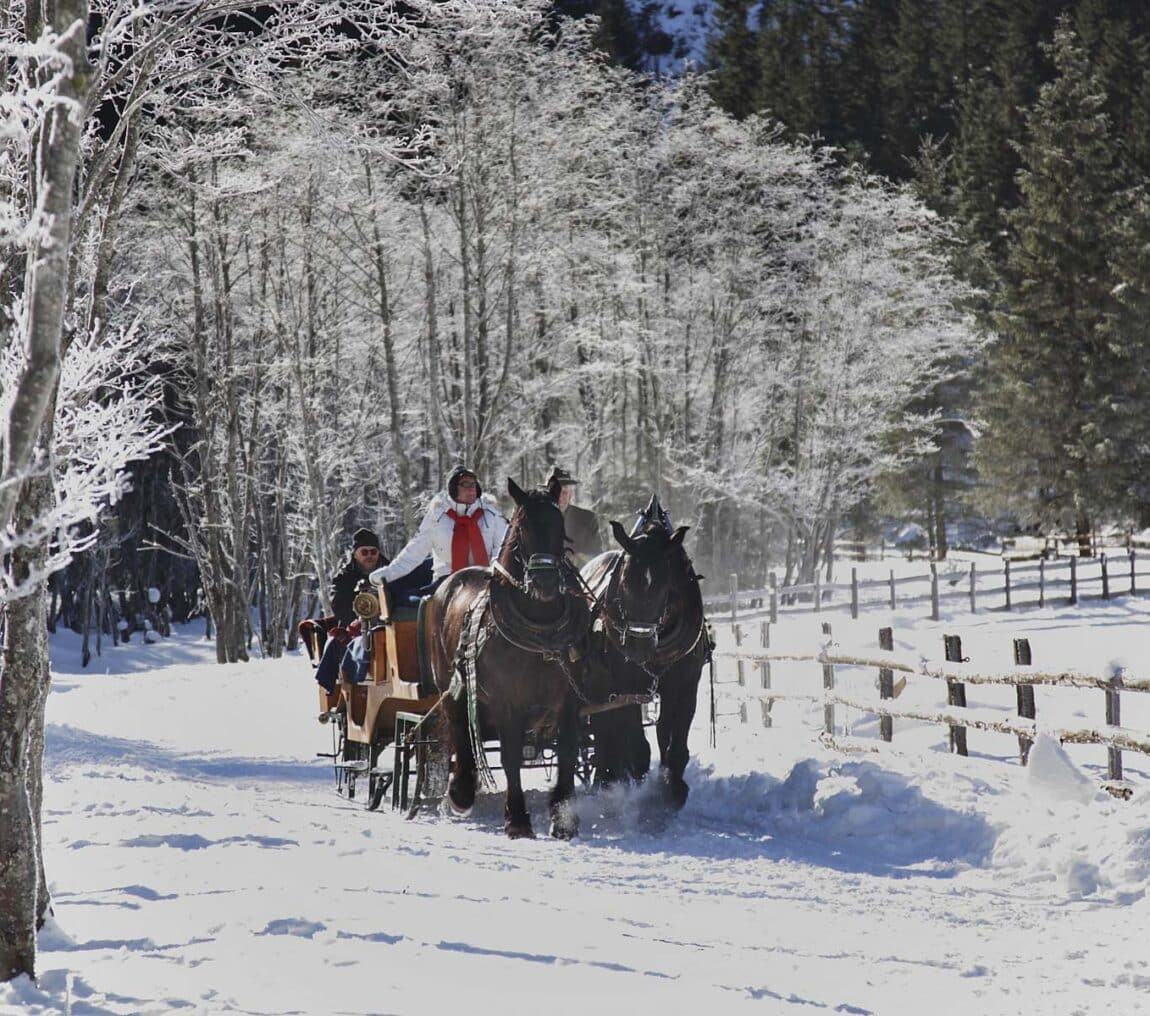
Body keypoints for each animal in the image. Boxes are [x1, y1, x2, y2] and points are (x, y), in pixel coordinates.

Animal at [423, 480, 588, 837]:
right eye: (522, 527)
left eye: (559, 525)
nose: (544, 581)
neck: (539, 628)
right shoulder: (507, 702)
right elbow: (511, 757)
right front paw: (517, 819)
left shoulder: (569, 698)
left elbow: (568, 752)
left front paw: (564, 817)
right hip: (451, 686)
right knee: (461, 731)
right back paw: (460, 792)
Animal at [584, 499, 708, 810]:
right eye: (623, 584)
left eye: (666, 587)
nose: (638, 646)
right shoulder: (627, 686)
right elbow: (637, 745)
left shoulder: (685, 684)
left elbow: (673, 741)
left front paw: (673, 789)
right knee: (605, 731)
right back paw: (606, 779)